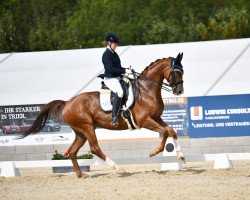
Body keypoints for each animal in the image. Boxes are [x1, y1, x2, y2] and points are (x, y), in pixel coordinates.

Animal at [25, 52, 185, 177]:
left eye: (182, 71)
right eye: (176, 72)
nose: (179, 91)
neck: (146, 90)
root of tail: (67, 102)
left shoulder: (156, 117)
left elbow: (171, 130)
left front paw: (181, 156)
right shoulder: (144, 120)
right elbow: (165, 132)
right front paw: (154, 152)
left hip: (81, 132)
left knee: (72, 151)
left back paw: (81, 175)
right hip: (87, 127)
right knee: (94, 148)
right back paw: (118, 168)